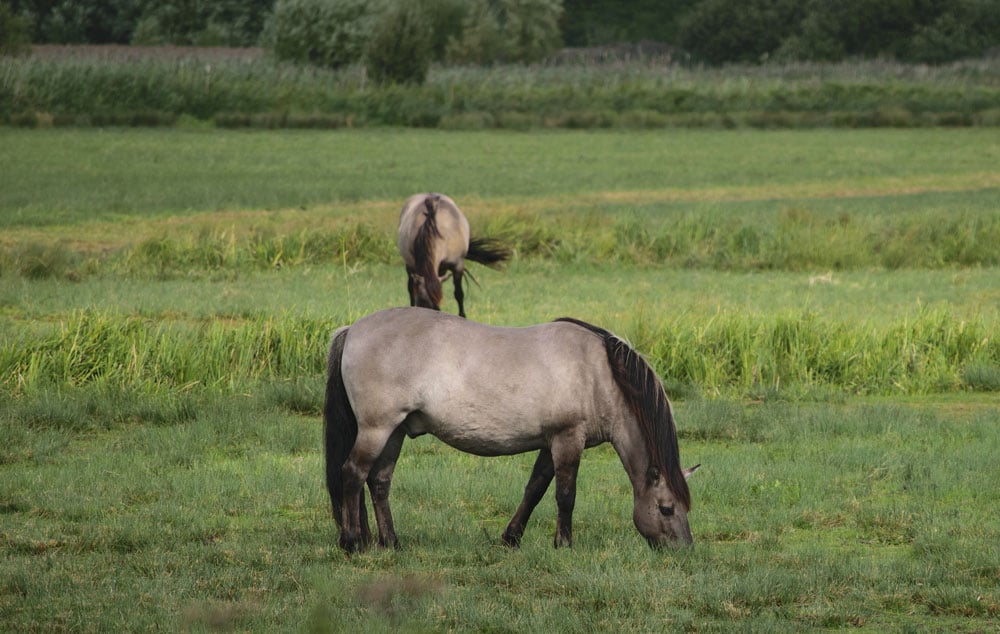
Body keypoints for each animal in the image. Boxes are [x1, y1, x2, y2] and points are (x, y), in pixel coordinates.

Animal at [324, 307, 699, 553]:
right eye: (666, 508)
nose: (684, 550)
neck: (597, 373)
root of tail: (352, 329)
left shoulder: (551, 443)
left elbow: (534, 489)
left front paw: (512, 538)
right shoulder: (567, 439)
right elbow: (565, 495)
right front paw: (564, 544)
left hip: (395, 431)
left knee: (379, 481)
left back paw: (390, 542)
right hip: (377, 429)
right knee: (353, 473)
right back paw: (353, 542)